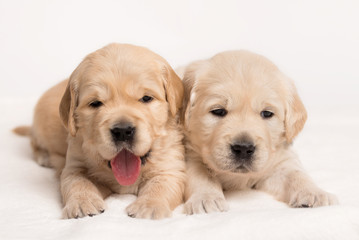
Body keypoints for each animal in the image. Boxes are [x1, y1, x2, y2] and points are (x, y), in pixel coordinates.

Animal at [13, 43, 186, 219]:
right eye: (95, 103)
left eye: (146, 98)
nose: (122, 131)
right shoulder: (75, 164)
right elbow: (77, 182)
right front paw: (82, 202)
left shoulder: (170, 167)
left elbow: (161, 185)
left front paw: (148, 206)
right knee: (34, 140)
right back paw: (45, 157)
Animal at [181, 50, 338, 214]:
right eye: (218, 111)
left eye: (267, 113)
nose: (243, 148)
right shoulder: (189, 155)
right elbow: (200, 175)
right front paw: (206, 198)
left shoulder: (280, 161)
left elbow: (296, 174)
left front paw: (313, 192)